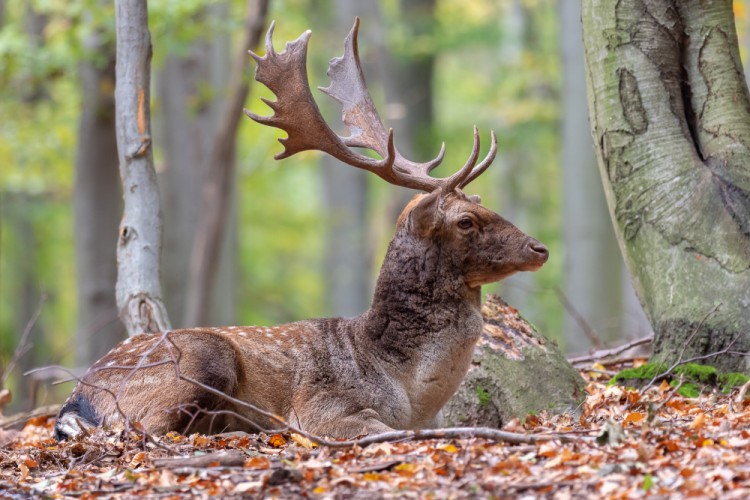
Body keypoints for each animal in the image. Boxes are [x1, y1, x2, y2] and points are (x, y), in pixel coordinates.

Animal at [53, 18, 548, 442]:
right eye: (466, 221)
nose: (539, 248)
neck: (407, 389)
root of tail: (78, 396)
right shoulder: (323, 407)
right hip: (201, 359)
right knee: (146, 428)